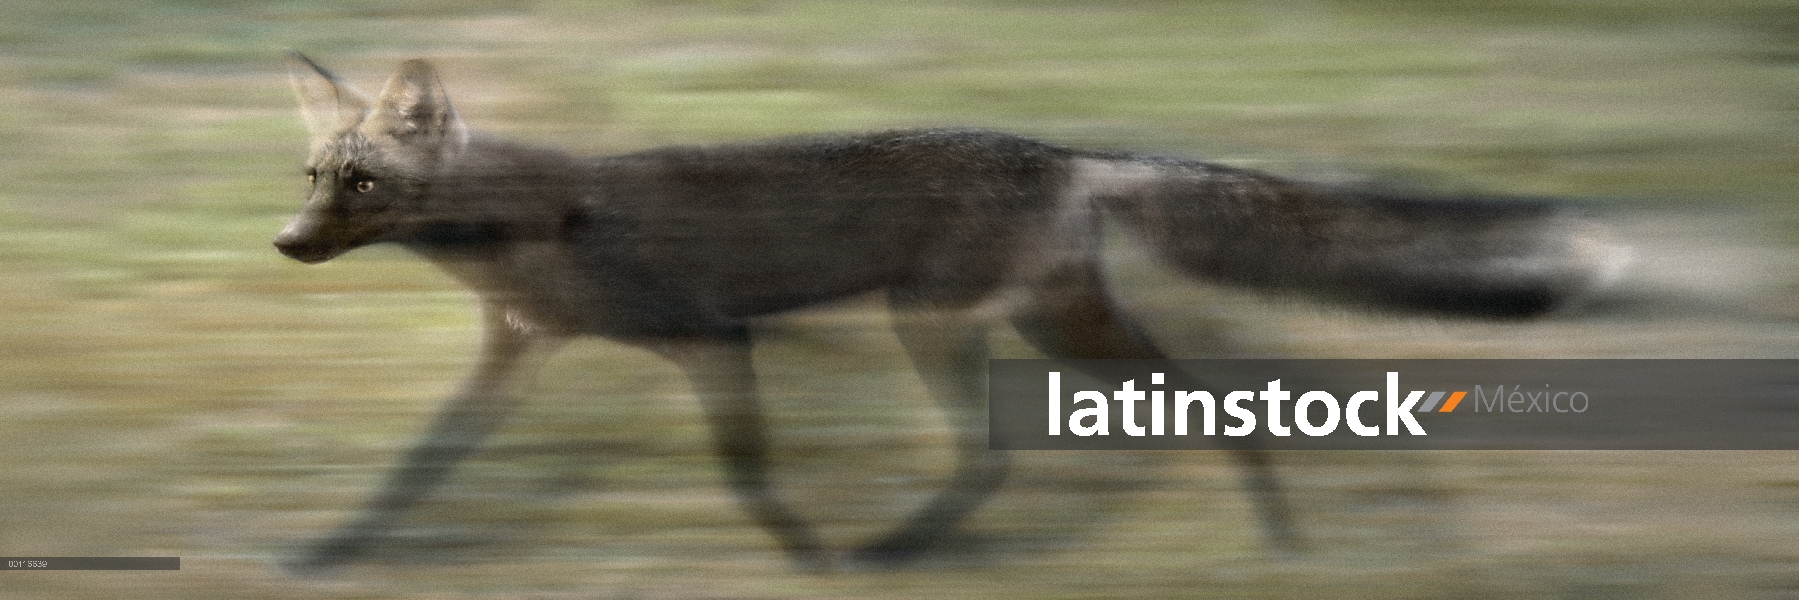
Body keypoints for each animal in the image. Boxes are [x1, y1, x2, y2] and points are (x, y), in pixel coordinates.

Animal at [269, 53, 1633, 574]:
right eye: (313, 177)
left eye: (362, 184)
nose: (284, 246)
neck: (517, 238)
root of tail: (1062, 150)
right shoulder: (513, 355)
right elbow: (414, 469)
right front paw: (330, 551)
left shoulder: (711, 339)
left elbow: (747, 473)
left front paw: (807, 558)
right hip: (1033, 327)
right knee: (1146, 422)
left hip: (939, 322)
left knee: (1031, 449)